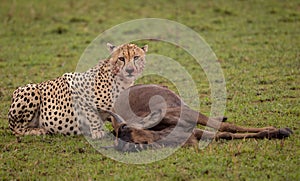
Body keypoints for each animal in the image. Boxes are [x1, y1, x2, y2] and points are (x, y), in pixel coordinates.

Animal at [9, 42, 149, 139]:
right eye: (121, 59)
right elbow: (92, 115)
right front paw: (97, 132)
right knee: (17, 129)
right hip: (30, 90)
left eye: (136, 57)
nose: (130, 70)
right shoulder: (77, 90)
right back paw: (39, 130)